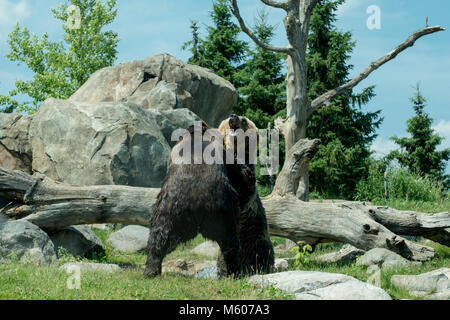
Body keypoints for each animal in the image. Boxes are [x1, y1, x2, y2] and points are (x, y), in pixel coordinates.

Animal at [217, 114, 274, 276]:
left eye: (244, 120)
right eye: (227, 119)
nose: (233, 116)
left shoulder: (246, 181)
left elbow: (244, 184)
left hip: (258, 236)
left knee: (263, 255)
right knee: (225, 261)